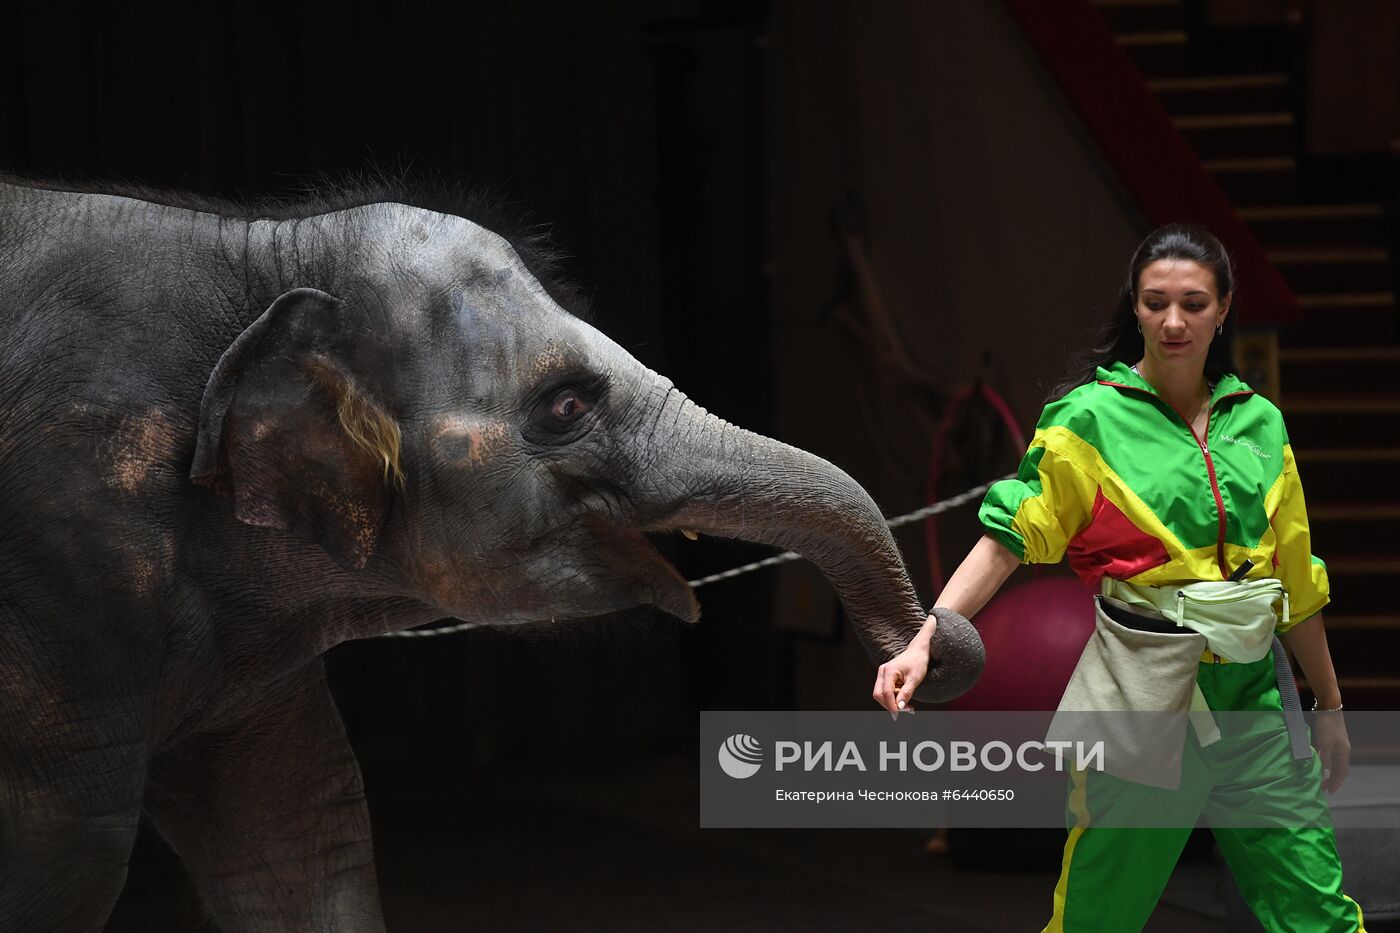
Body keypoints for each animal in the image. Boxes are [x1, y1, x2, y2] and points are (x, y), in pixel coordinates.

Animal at [0, 176, 985, 930]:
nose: (937, 646)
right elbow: (69, 849)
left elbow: (296, 822)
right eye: (566, 405)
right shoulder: (70, 542)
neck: (260, 254)